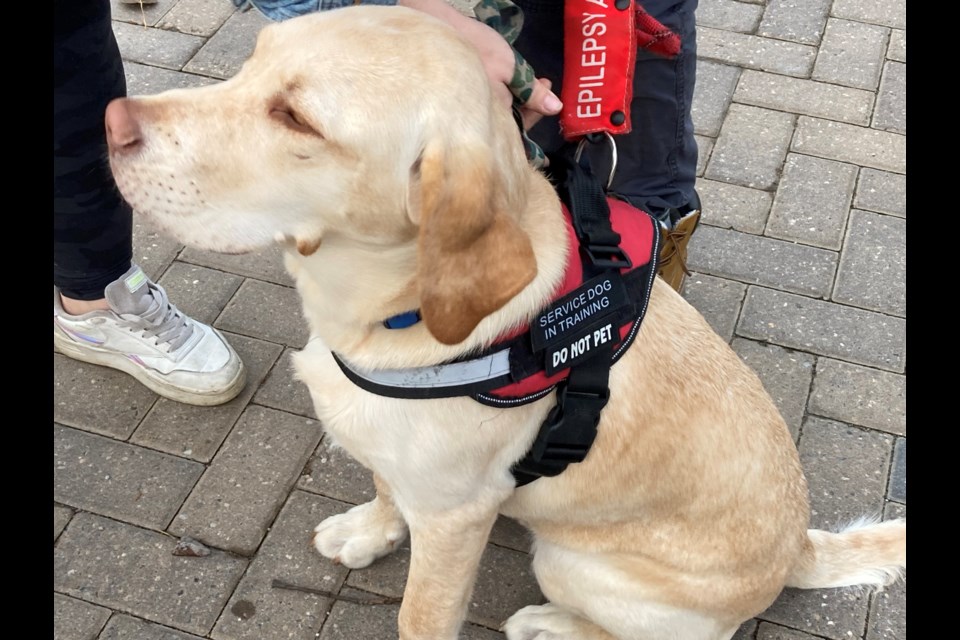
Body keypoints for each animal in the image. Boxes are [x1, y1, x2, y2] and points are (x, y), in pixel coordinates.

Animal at [107, 6, 908, 640]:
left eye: (297, 118)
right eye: (250, 64)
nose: (112, 123)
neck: (386, 311)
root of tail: (797, 551)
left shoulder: (459, 515)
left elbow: (421, 615)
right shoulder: (405, 466)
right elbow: (385, 486)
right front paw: (370, 532)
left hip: (570, 562)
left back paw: (552, 625)